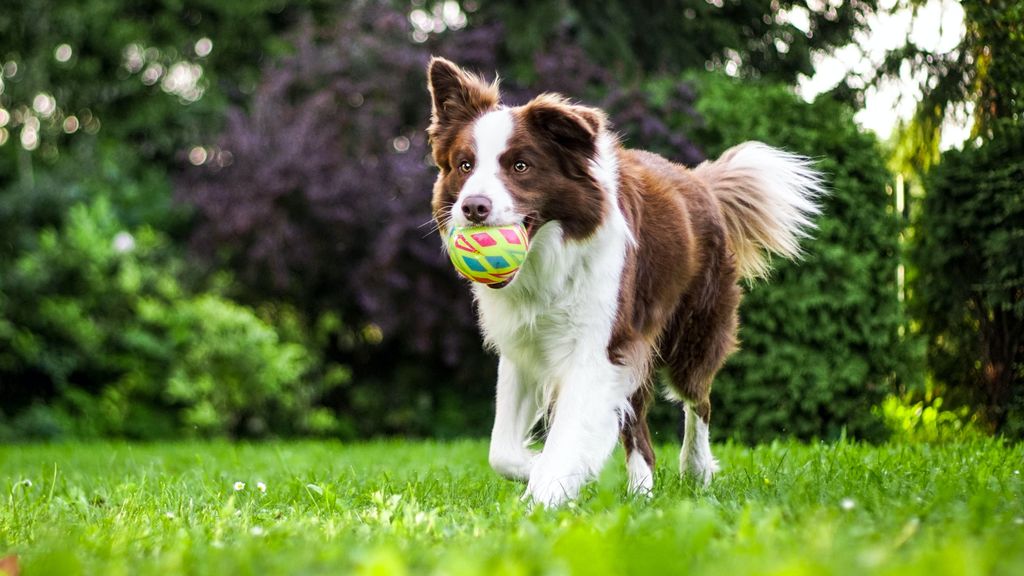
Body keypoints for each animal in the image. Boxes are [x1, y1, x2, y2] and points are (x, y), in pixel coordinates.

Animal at [423, 54, 823, 502]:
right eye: (465, 165)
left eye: (521, 166)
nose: (473, 207)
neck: (548, 259)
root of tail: (699, 180)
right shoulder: (524, 345)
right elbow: (502, 451)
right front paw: (541, 470)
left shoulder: (599, 345)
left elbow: (568, 434)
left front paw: (545, 495)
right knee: (639, 428)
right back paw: (642, 493)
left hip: (693, 330)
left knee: (697, 400)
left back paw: (696, 469)